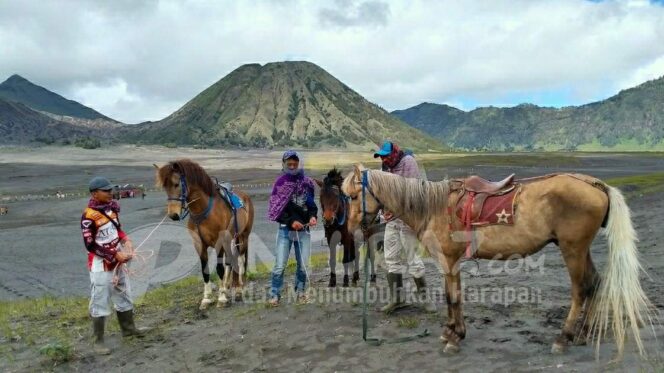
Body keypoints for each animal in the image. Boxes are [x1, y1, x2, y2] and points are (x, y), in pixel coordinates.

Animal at [154, 159, 255, 308]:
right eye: (164, 187)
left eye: (176, 184)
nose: (173, 214)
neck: (204, 211)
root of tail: (245, 196)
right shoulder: (199, 244)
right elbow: (205, 270)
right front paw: (207, 298)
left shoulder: (219, 242)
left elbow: (219, 268)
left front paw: (222, 297)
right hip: (232, 239)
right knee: (231, 261)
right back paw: (230, 285)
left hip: (243, 237)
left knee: (241, 260)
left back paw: (239, 288)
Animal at [342, 164, 652, 356]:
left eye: (355, 195)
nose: (352, 227)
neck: (433, 206)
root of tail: (595, 184)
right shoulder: (449, 261)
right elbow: (452, 295)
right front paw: (451, 332)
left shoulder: (449, 259)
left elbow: (453, 297)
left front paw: (454, 337)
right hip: (580, 249)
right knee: (594, 283)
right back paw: (583, 334)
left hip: (572, 249)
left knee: (580, 289)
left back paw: (563, 338)